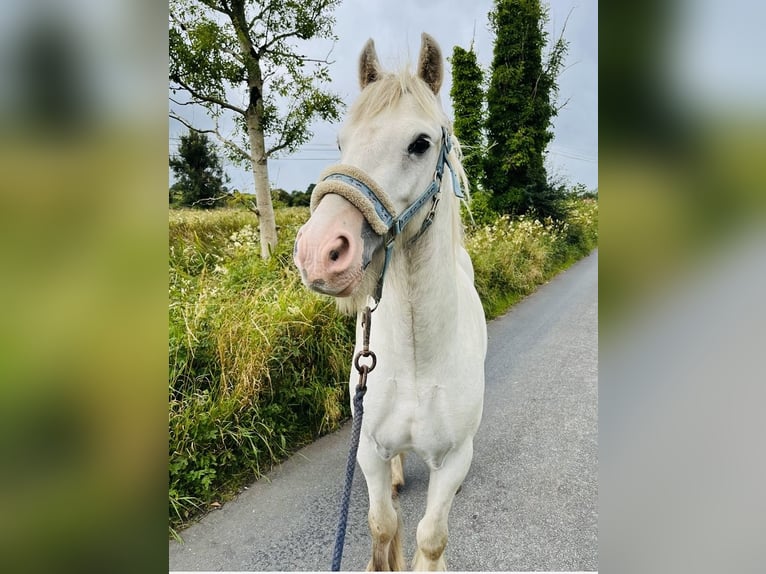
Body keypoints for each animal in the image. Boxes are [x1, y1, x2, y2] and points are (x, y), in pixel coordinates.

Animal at [294, 35, 486, 572]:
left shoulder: (454, 459)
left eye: (421, 143)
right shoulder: (367, 451)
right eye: (342, 142)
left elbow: (431, 536)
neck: (420, 358)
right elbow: (382, 526)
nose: (319, 251)